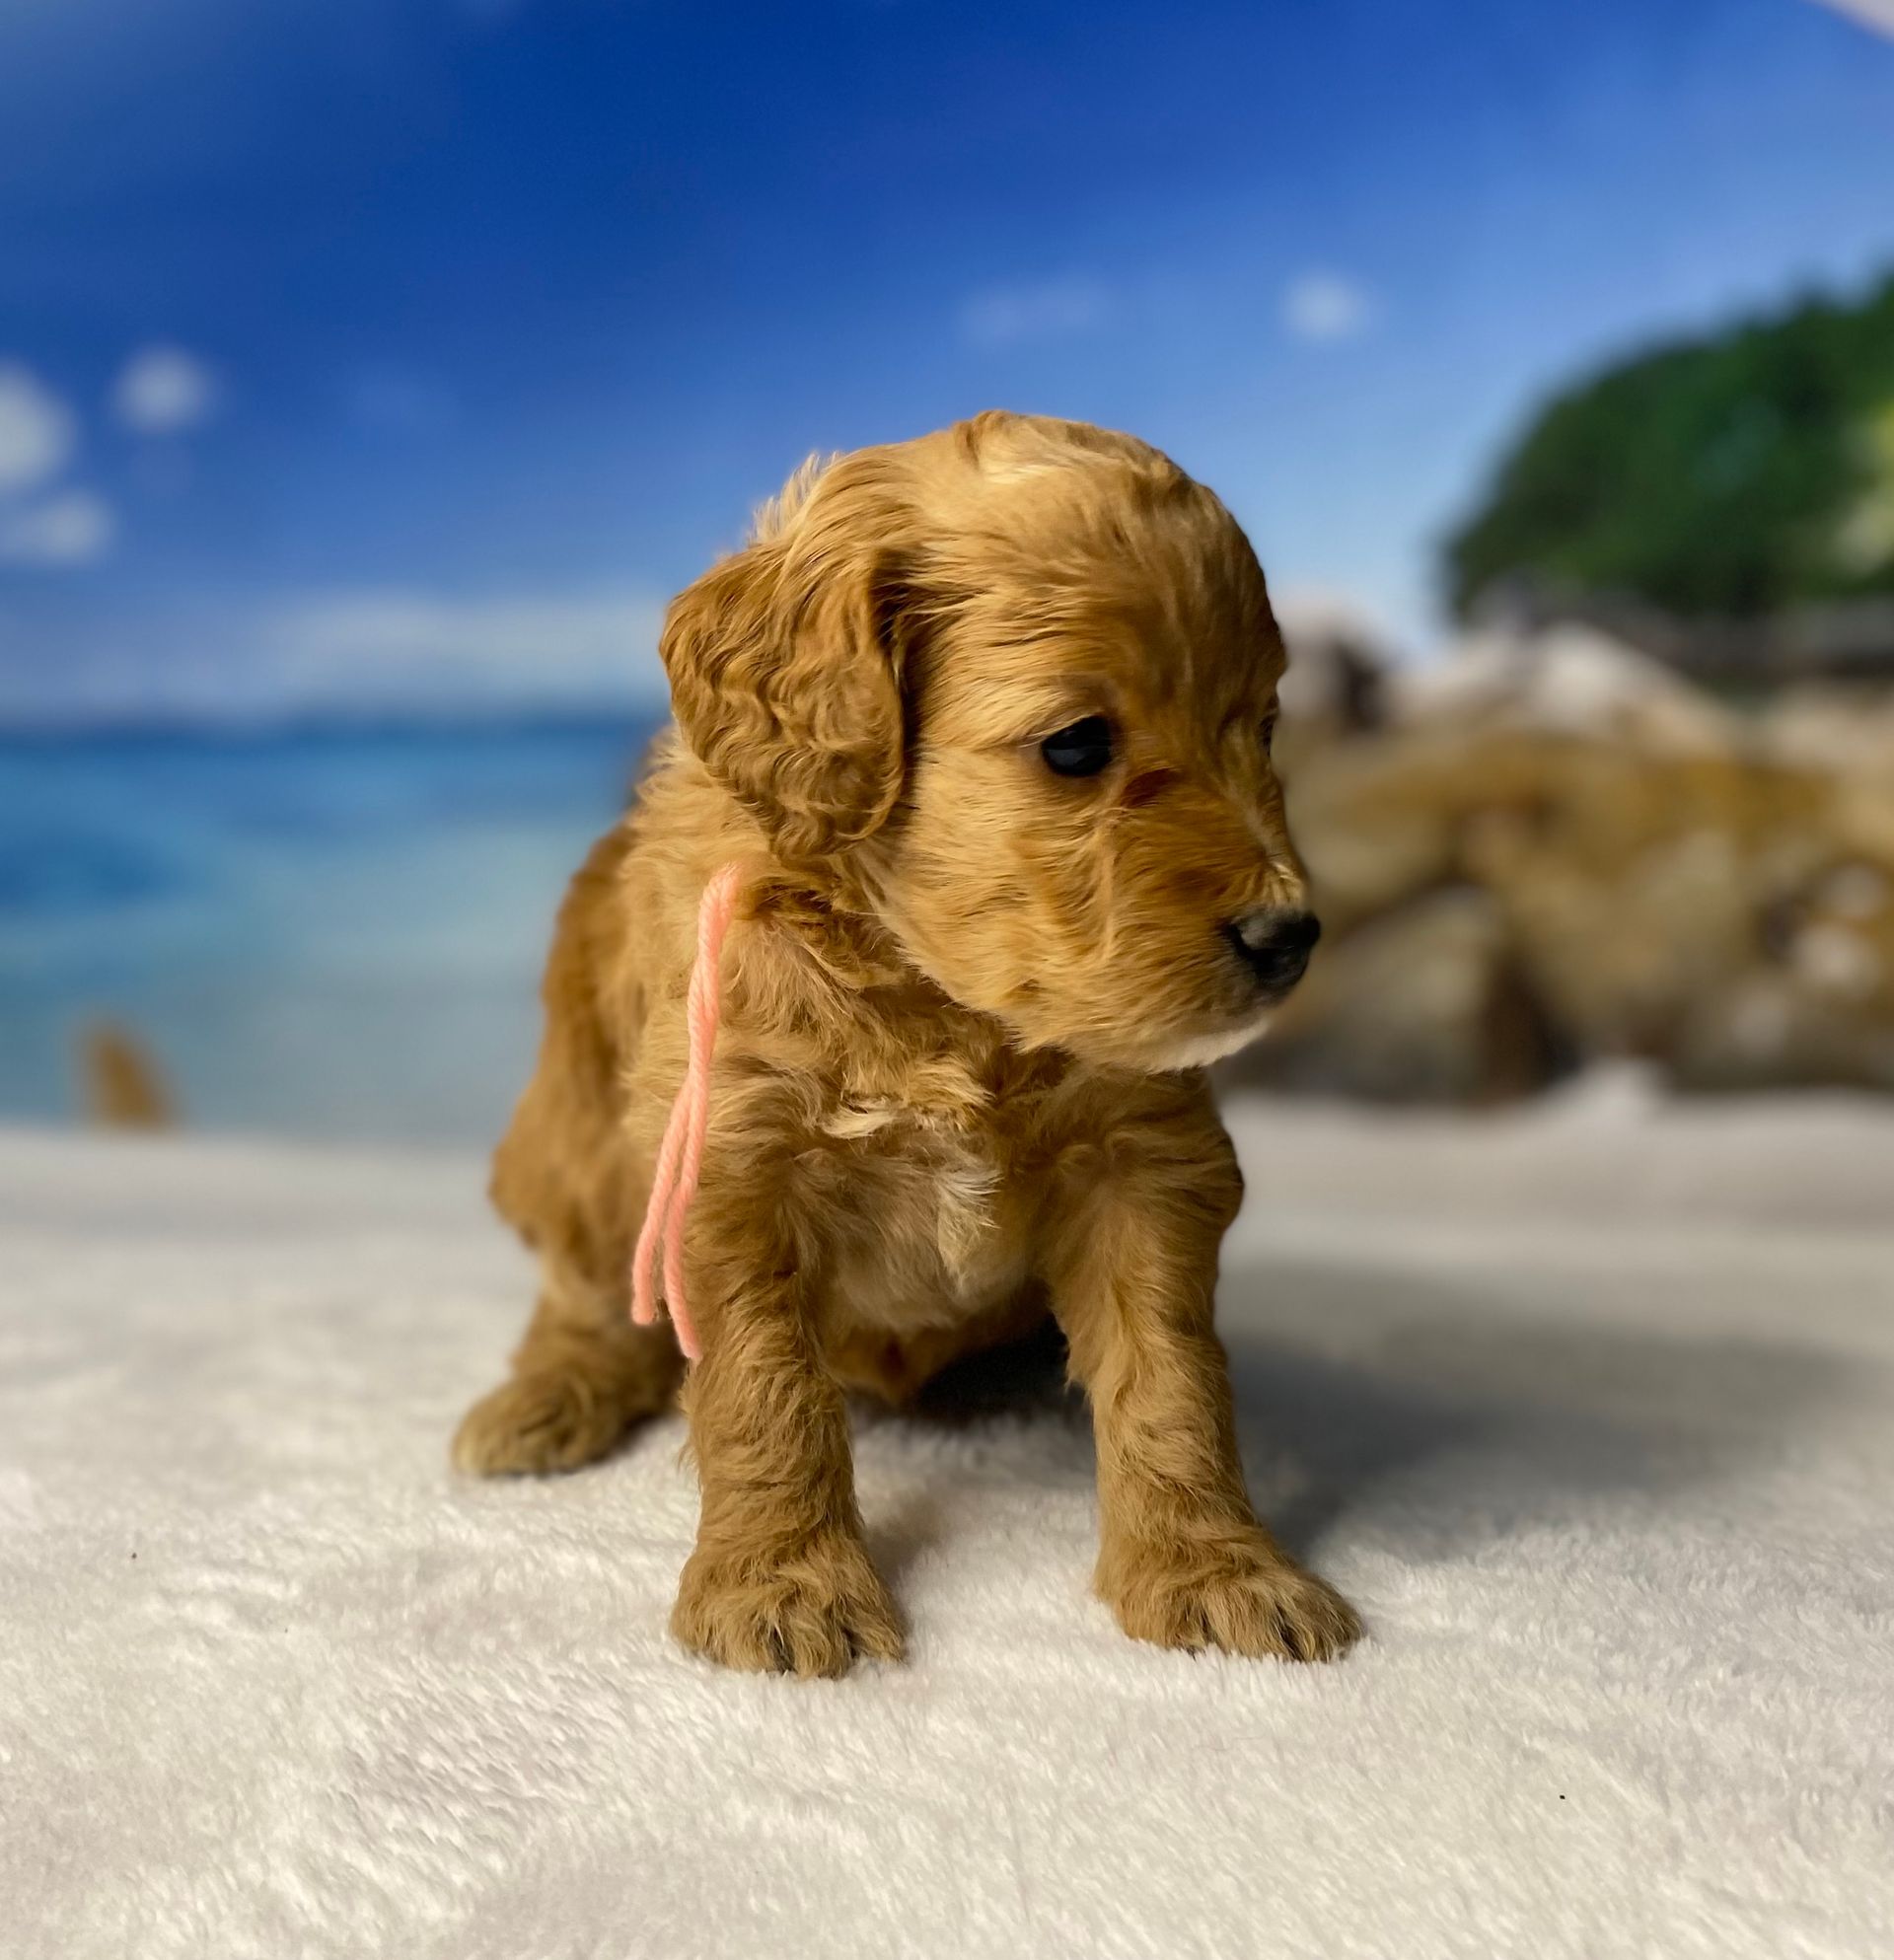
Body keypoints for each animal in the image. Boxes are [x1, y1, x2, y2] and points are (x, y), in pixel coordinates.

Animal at [457, 409, 1364, 1669]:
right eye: (1077, 745)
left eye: (1265, 728)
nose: (1290, 936)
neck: (940, 995)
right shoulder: (726, 1158)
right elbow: (763, 1387)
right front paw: (783, 1585)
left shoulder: (1142, 1155)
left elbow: (1172, 1374)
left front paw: (1214, 1567)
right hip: (574, 1143)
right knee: (585, 1292)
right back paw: (543, 1400)